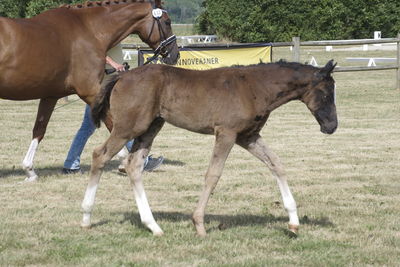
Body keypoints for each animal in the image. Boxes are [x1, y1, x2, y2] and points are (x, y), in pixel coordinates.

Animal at [0, 0, 179, 182]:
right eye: (167, 22)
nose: (175, 55)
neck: (89, 30)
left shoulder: (50, 96)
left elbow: (39, 129)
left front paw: (29, 170)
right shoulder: (90, 91)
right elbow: (114, 124)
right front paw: (123, 162)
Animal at [83, 60, 340, 237]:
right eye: (326, 93)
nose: (331, 126)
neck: (254, 87)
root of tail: (122, 76)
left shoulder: (248, 136)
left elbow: (275, 163)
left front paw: (293, 222)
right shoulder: (226, 133)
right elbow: (213, 174)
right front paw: (199, 224)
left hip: (151, 126)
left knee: (134, 165)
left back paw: (153, 225)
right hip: (128, 127)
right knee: (100, 155)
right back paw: (86, 217)